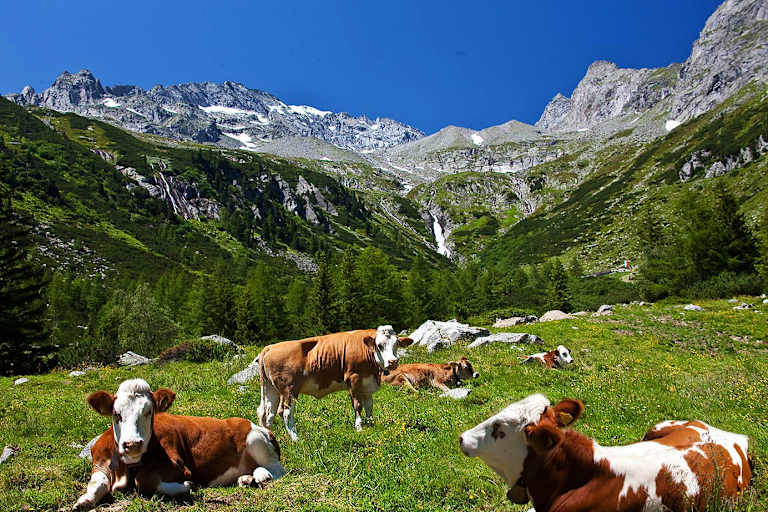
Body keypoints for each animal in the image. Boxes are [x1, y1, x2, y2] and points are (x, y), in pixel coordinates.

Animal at [73, 379, 284, 511]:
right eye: (116, 414)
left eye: (149, 411)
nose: (132, 444)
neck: (127, 469)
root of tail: (254, 424)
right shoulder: (99, 462)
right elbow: (97, 483)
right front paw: (83, 501)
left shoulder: (180, 467)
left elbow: (146, 481)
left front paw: (187, 485)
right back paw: (247, 479)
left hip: (255, 439)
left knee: (278, 470)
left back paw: (262, 475)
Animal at [257, 325, 409, 441]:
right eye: (379, 345)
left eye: (397, 344)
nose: (393, 361)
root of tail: (269, 347)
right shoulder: (353, 379)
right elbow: (358, 406)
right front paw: (359, 428)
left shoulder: (366, 384)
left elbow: (369, 407)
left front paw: (371, 426)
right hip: (289, 389)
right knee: (285, 412)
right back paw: (296, 439)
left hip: (270, 389)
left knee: (267, 413)